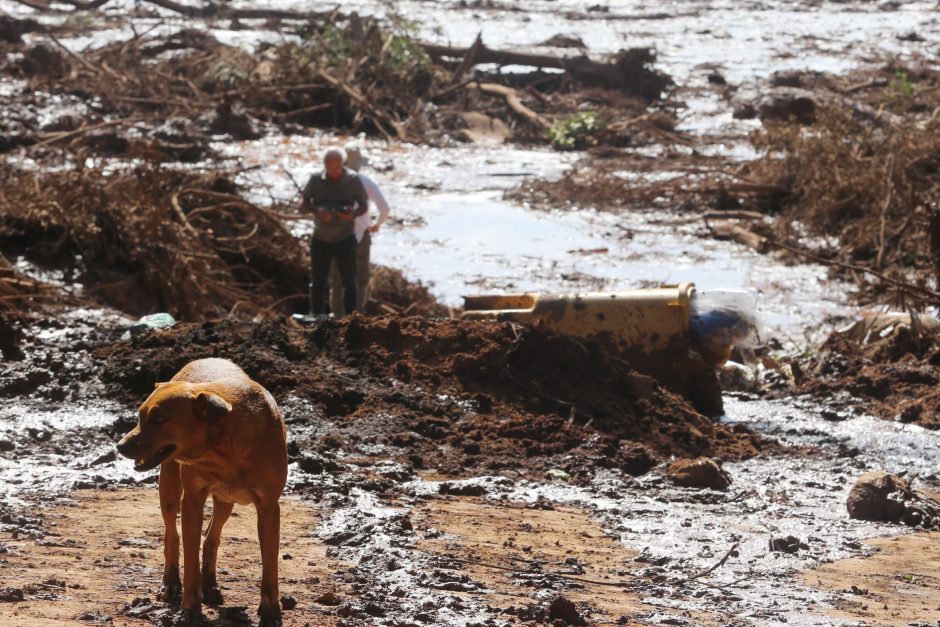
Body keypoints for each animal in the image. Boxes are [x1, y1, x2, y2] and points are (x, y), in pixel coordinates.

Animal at [116, 358, 286, 627]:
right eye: (140, 416)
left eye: (159, 419)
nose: (120, 446)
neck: (224, 449)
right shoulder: (192, 500)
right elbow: (189, 559)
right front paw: (189, 610)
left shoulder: (269, 506)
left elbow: (270, 564)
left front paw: (270, 614)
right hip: (169, 485)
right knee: (171, 534)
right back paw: (171, 584)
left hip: (226, 500)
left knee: (211, 538)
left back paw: (211, 586)